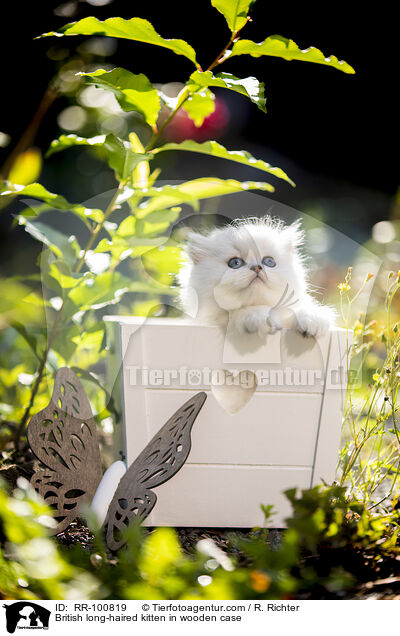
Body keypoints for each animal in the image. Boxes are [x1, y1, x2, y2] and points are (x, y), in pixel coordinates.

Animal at [178, 217, 334, 338]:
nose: (257, 267)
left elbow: (299, 311)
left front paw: (312, 319)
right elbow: (243, 313)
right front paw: (259, 317)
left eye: (269, 261)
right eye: (235, 263)